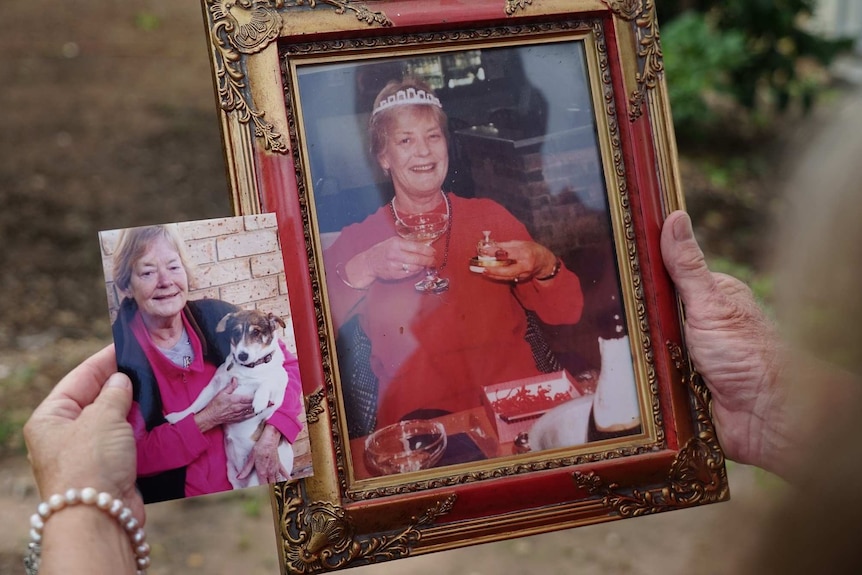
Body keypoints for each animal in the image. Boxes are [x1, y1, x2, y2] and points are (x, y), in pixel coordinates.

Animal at [165, 310, 294, 490]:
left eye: (256, 332)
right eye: (236, 332)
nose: (242, 355)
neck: (248, 368)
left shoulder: (278, 389)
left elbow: (267, 380)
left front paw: (259, 400)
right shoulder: (215, 385)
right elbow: (196, 404)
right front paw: (177, 417)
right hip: (233, 478)